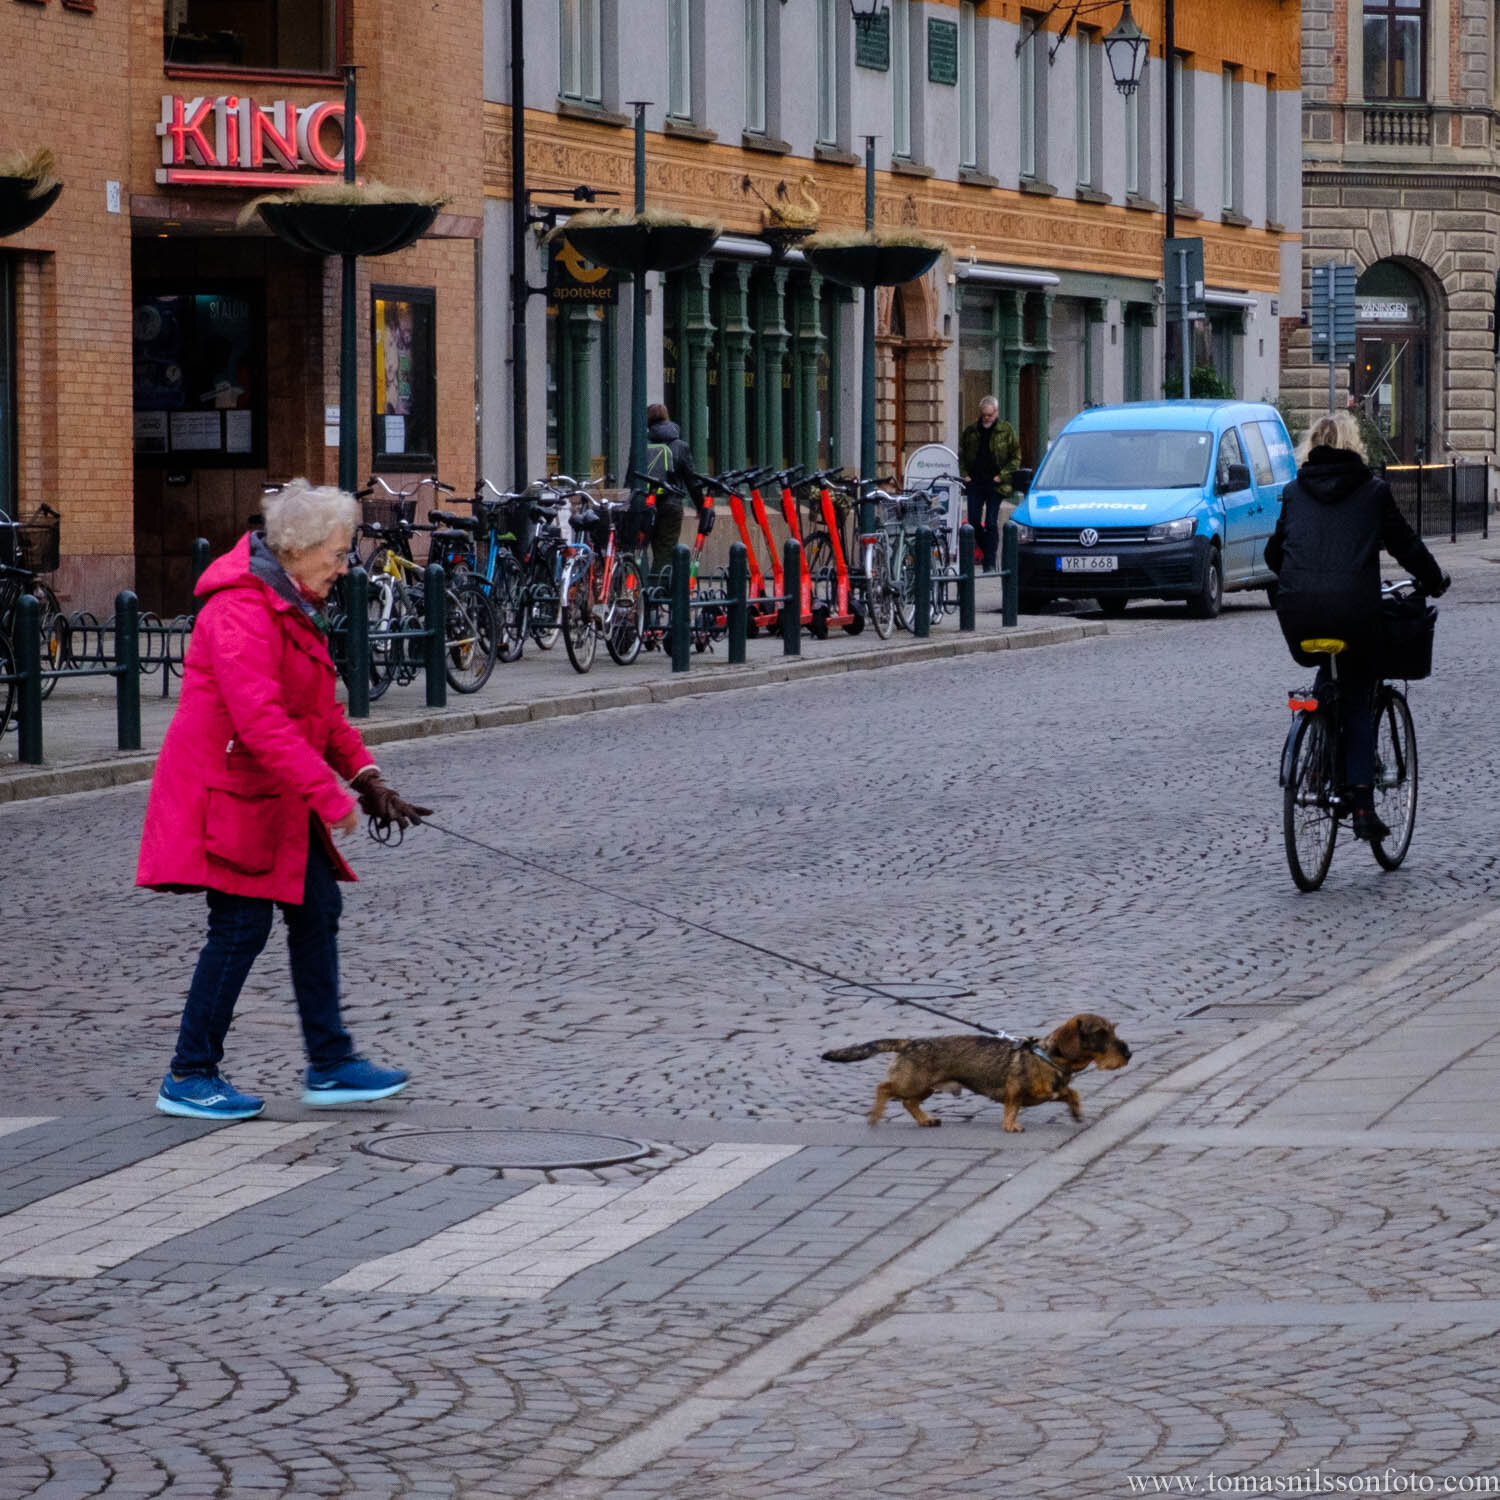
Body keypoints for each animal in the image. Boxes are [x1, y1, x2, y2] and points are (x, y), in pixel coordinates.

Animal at [828, 1014, 1128, 1128]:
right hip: (913, 1083)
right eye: (1101, 1034)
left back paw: (925, 1120)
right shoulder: (1014, 1091)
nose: (1129, 1053)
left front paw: (1076, 1113)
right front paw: (1011, 1125)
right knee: (885, 1088)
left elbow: (1072, 1094)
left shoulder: (1057, 1090)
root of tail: (910, 1043)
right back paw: (875, 1115)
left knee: (909, 1103)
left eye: (1113, 1030)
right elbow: (1012, 1107)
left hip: (925, 1088)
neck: (1046, 1056)